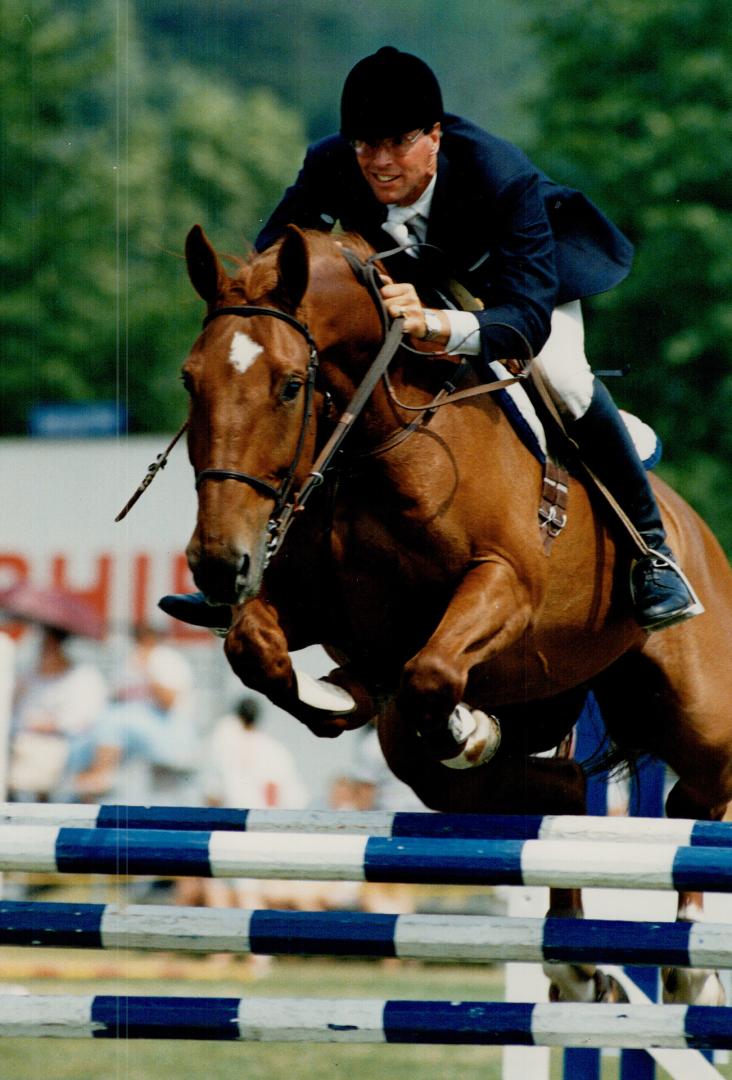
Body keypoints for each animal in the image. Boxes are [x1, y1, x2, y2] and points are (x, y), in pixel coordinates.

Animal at [180, 223, 732, 1006]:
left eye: (289, 384)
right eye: (189, 380)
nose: (216, 563)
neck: (381, 444)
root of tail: (695, 529)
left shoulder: (505, 587)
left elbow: (433, 670)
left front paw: (466, 725)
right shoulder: (312, 606)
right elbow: (256, 648)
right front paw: (340, 695)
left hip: (699, 714)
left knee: (696, 803)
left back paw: (689, 963)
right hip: (513, 724)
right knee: (560, 794)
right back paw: (575, 963)